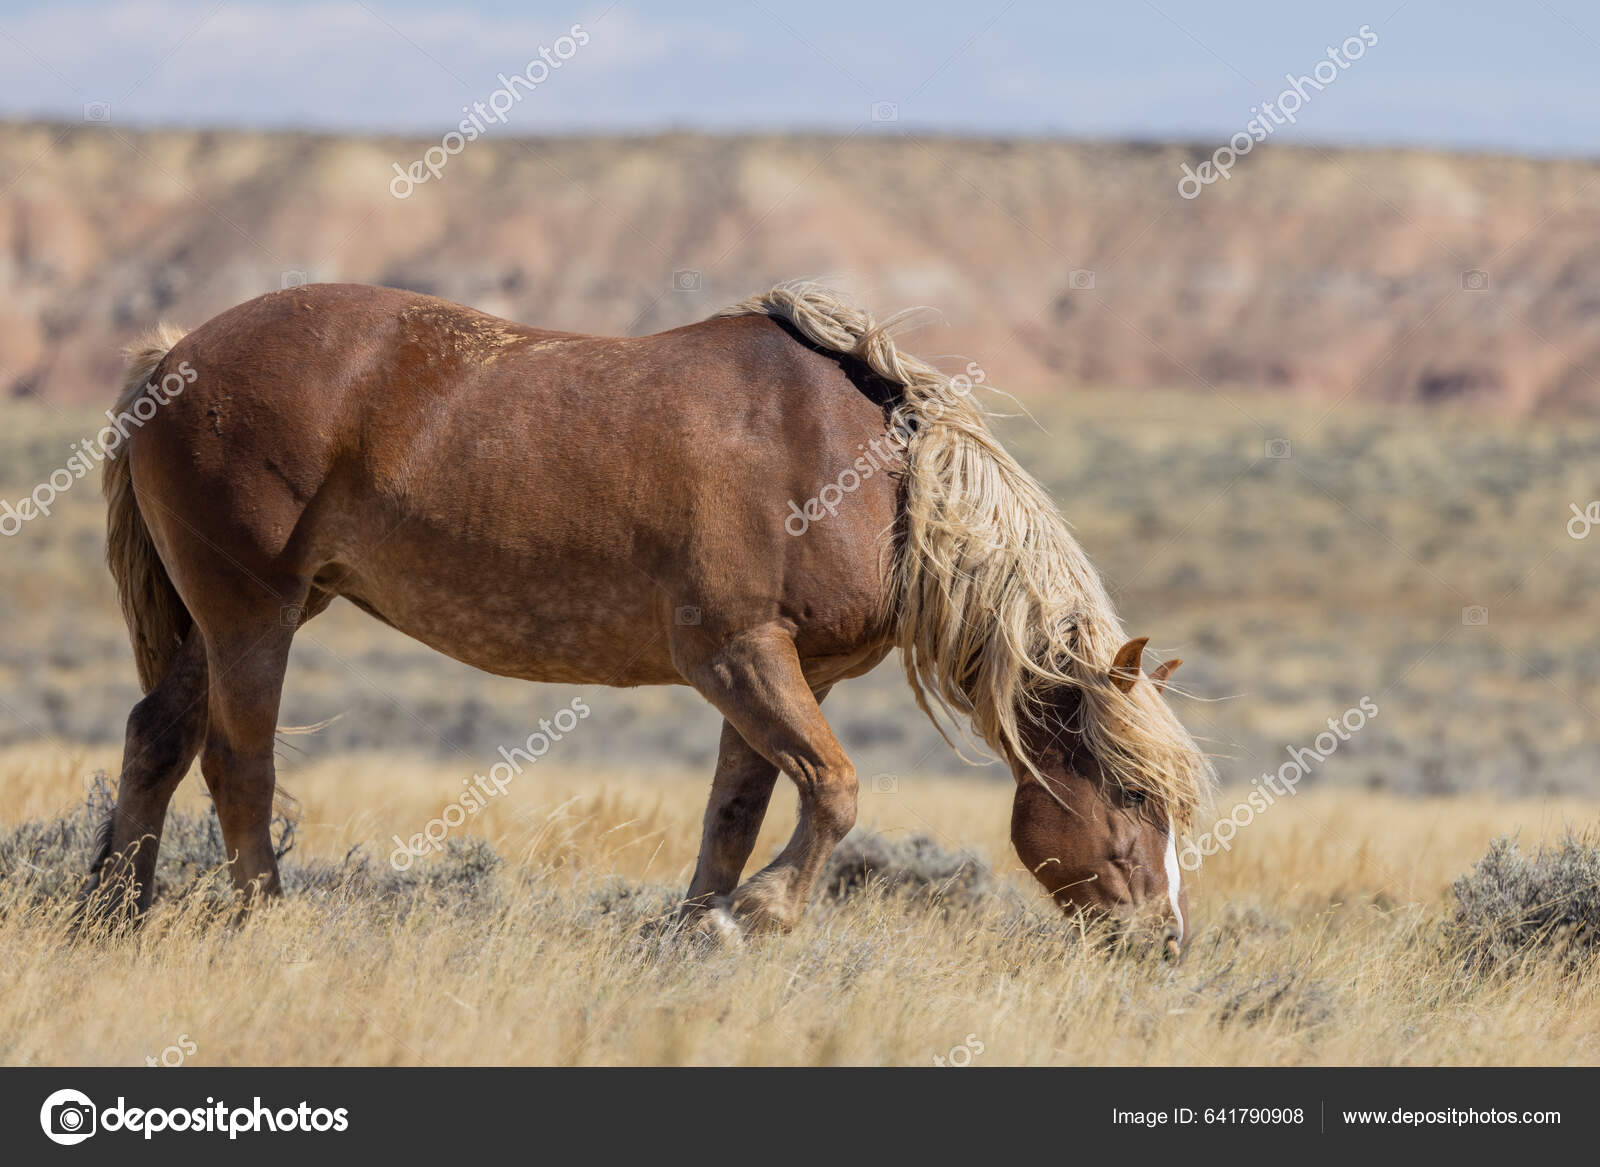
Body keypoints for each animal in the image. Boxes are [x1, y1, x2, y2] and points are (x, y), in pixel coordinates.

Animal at [84, 280, 1209, 947]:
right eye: (1134, 793)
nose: (1160, 940)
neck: (863, 475)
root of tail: (172, 356)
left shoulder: (781, 672)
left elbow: (739, 811)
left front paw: (698, 928)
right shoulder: (735, 654)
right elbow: (834, 790)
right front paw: (753, 916)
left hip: (228, 620)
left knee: (155, 740)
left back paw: (113, 912)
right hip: (253, 615)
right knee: (238, 763)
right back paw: (265, 921)